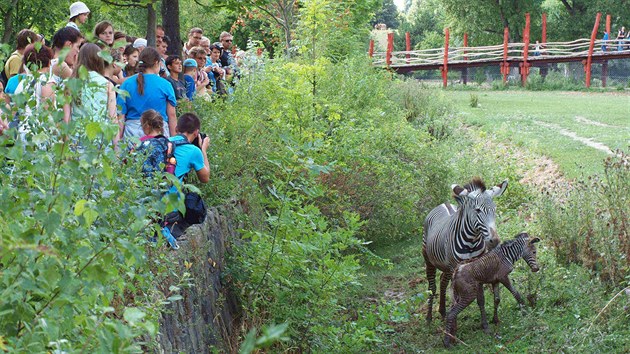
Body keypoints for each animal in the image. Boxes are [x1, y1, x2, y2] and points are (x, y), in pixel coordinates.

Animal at [422, 178, 512, 322]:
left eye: (494, 209)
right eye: (478, 210)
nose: (495, 241)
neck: (471, 241)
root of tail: (443, 204)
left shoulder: (477, 267)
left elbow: (480, 298)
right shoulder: (455, 268)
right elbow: (456, 298)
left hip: (447, 267)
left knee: (442, 281)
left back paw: (442, 311)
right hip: (429, 260)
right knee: (432, 287)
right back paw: (429, 317)